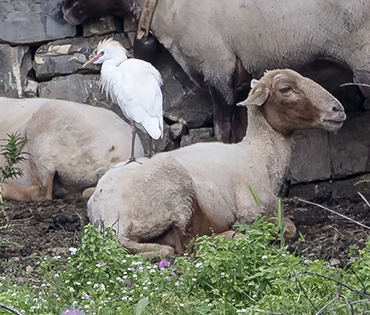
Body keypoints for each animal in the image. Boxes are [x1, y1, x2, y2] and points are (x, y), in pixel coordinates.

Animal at [87, 69, 346, 256]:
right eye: (285, 89)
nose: (338, 109)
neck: (259, 155)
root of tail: (109, 219)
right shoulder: (251, 211)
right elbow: (289, 228)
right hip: (176, 198)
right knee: (185, 245)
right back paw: (233, 236)